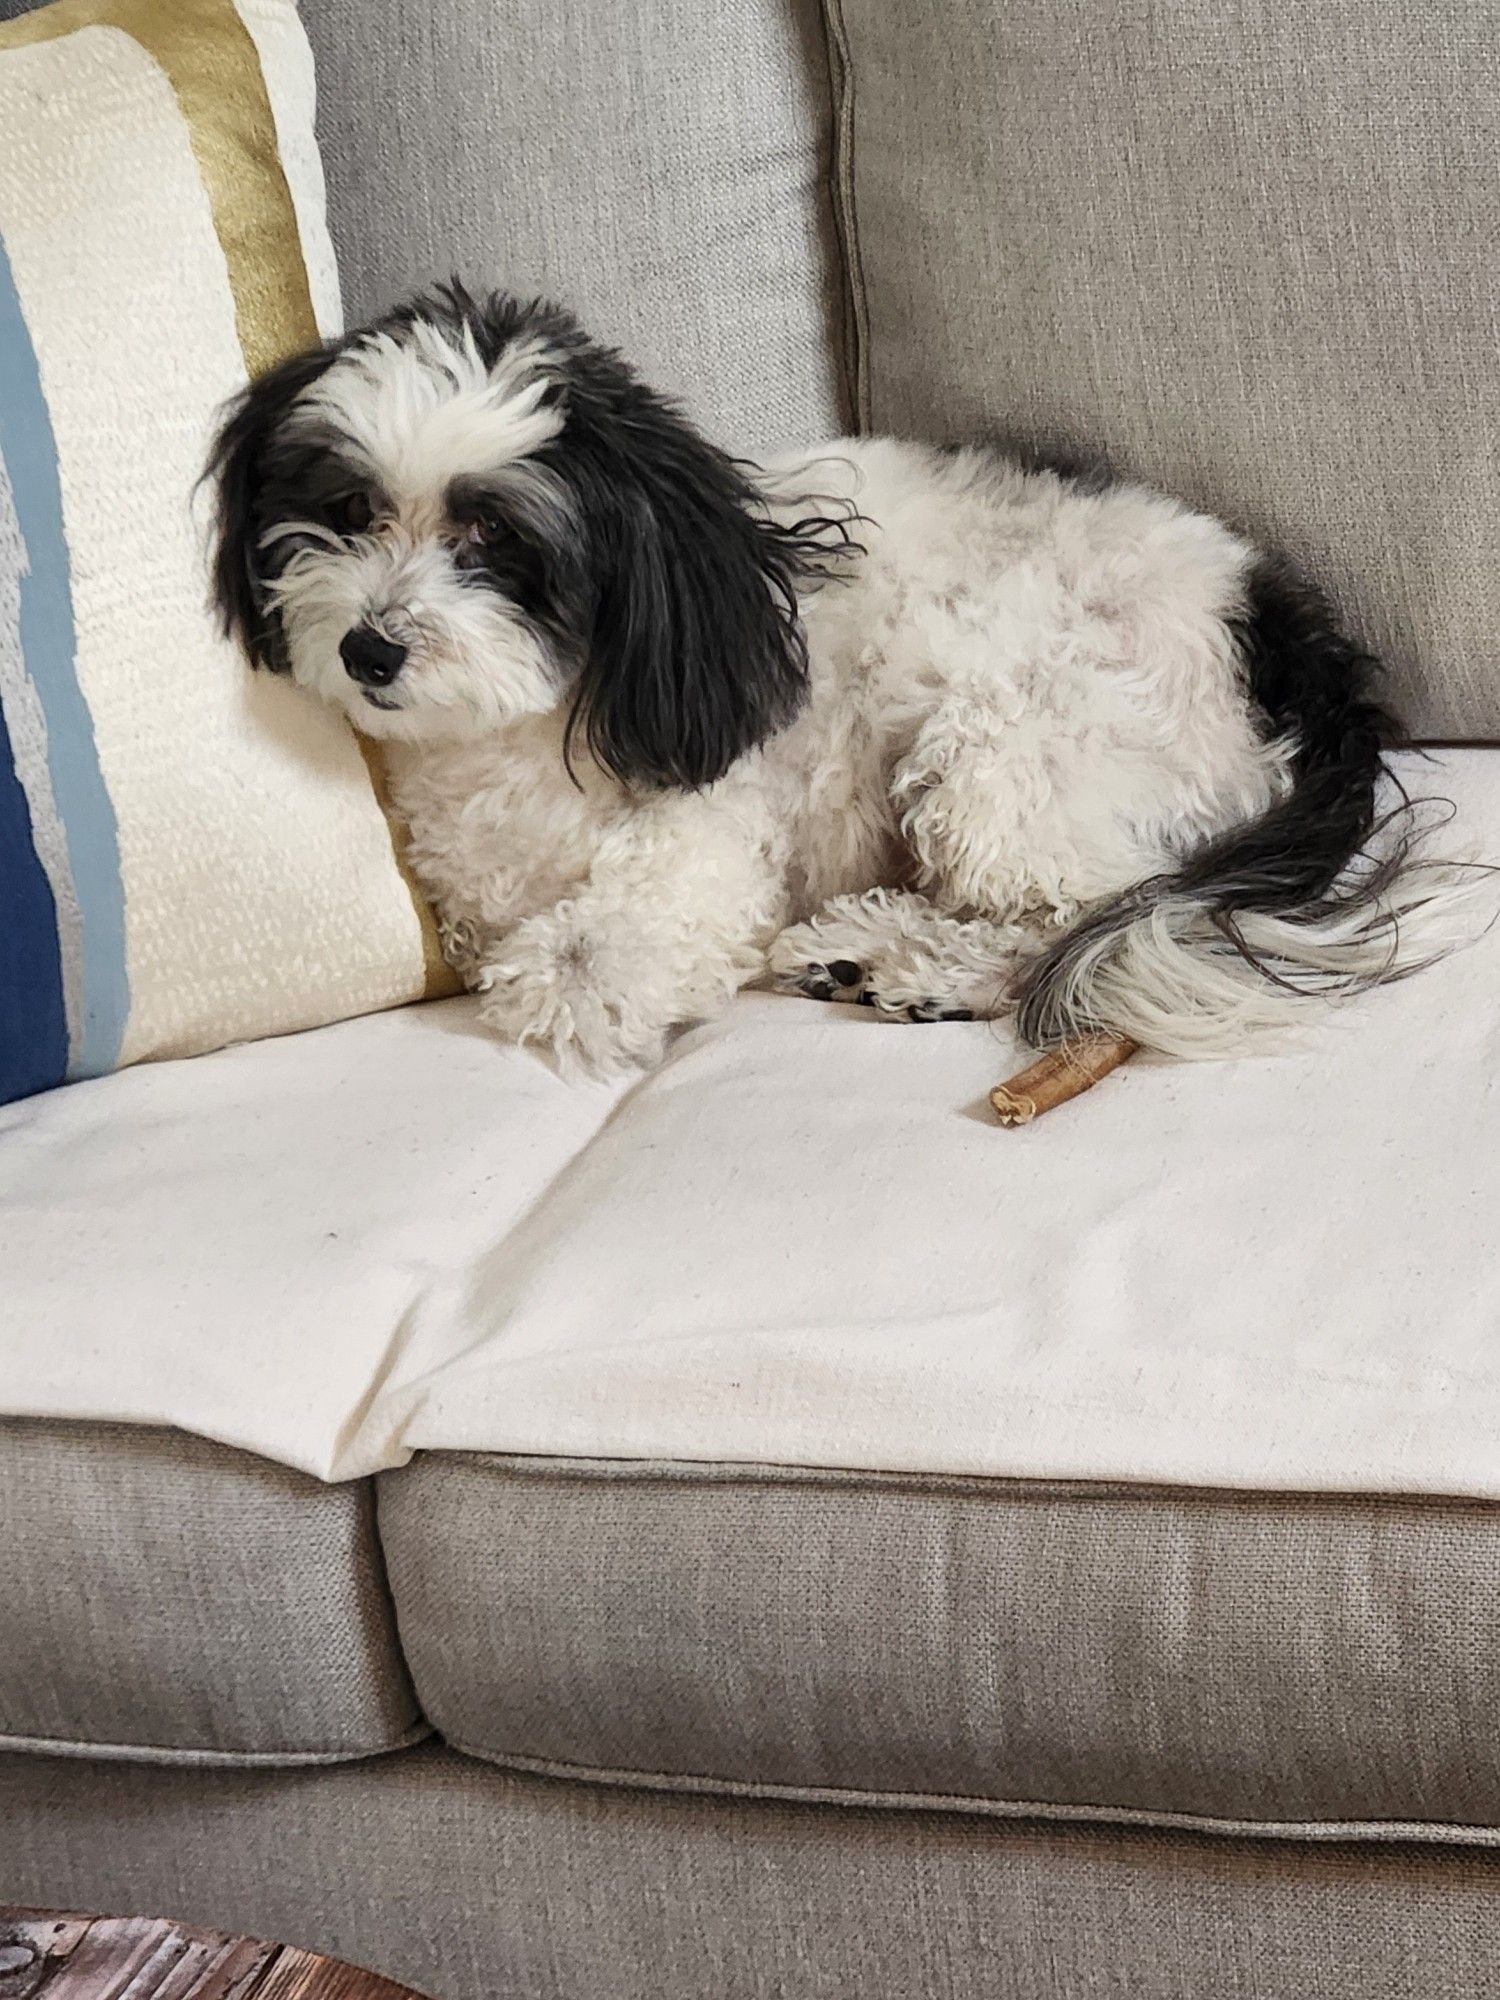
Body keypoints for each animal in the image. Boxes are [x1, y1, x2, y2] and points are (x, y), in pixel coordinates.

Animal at [203, 282, 1480, 1080]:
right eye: (349, 509)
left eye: (494, 540)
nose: (370, 648)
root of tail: (1287, 638)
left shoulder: (709, 832)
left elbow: (591, 946)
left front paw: (577, 975)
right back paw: (864, 949)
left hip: (1006, 741)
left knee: (1079, 912)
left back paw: (907, 961)